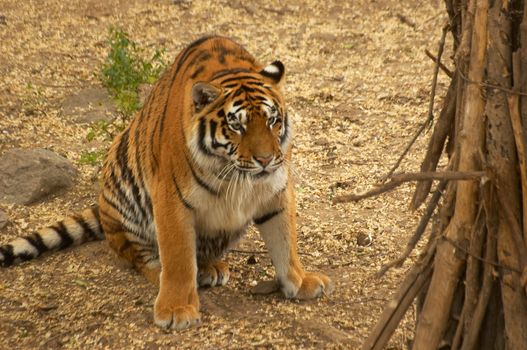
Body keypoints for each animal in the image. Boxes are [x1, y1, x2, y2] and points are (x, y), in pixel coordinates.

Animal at [0, 35, 334, 328]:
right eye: (236, 126)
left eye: (272, 120)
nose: (265, 160)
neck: (235, 173)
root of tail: (101, 207)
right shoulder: (172, 198)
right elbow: (178, 258)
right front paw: (175, 309)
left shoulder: (276, 189)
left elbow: (285, 242)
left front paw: (300, 282)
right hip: (123, 183)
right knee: (140, 257)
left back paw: (210, 268)